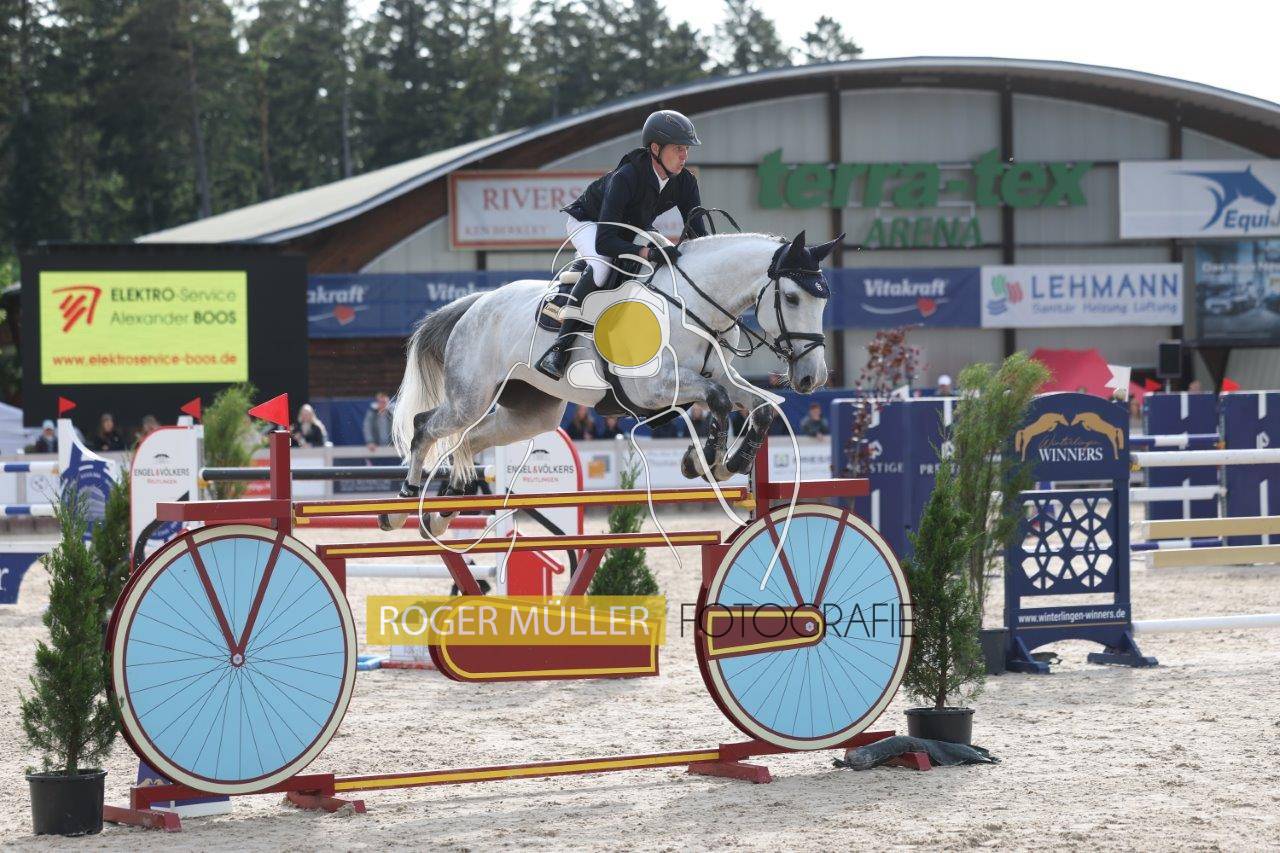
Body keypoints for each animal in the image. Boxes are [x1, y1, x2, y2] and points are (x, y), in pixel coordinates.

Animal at [379, 230, 839, 535]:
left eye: (823, 300)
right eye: (792, 298)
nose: (812, 378)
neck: (691, 306)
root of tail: (475, 304)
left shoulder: (717, 374)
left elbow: (761, 407)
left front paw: (730, 461)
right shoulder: (652, 389)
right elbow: (719, 400)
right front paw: (707, 459)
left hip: (531, 414)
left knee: (467, 442)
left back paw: (441, 514)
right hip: (470, 398)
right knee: (426, 427)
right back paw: (401, 505)